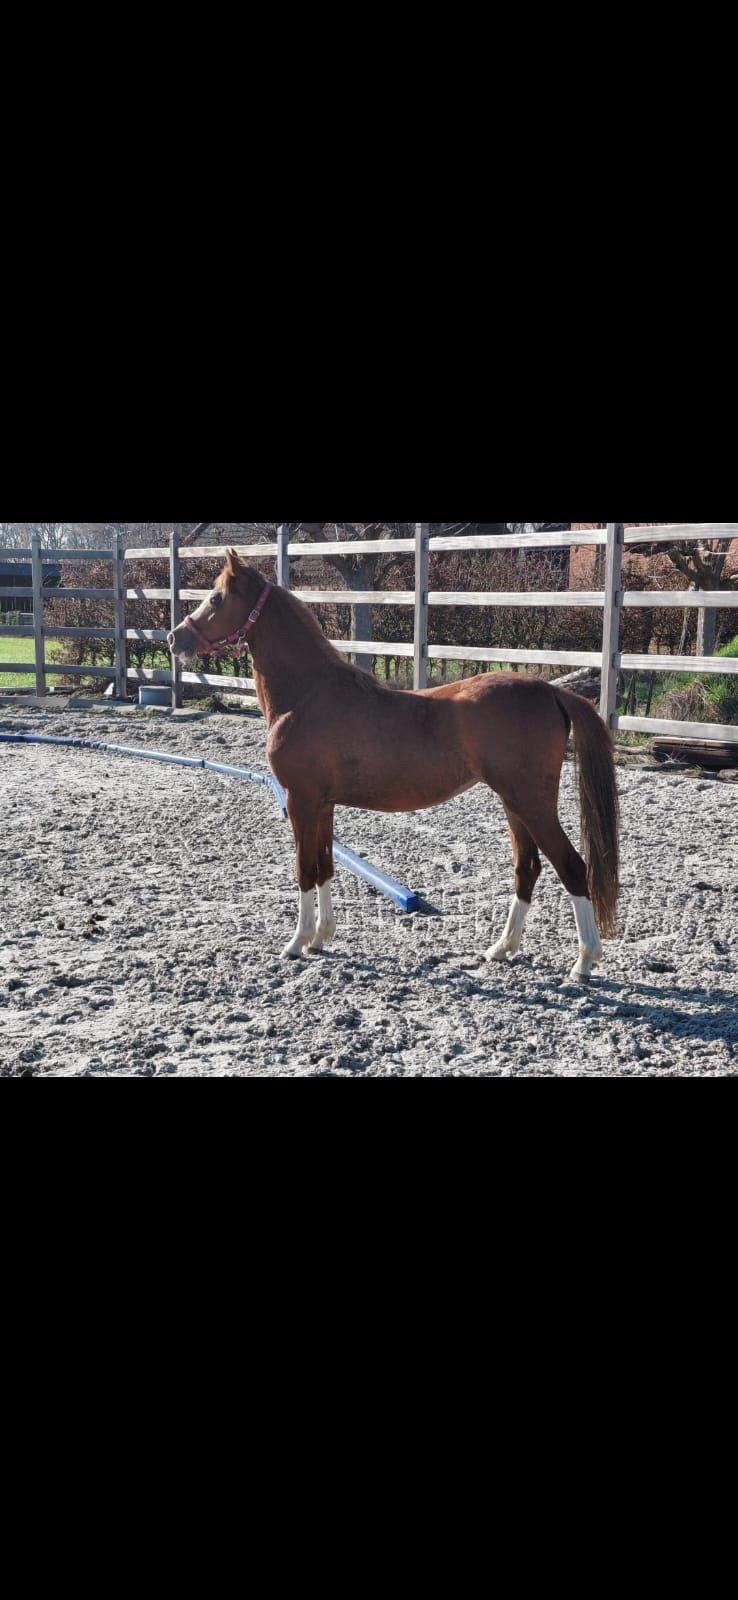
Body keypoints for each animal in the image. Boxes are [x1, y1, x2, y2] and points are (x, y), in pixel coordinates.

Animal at [168, 549, 619, 980]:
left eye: (216, 598)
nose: (175, 638)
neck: (307, 695)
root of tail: (551, 691)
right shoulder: (323, 805)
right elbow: (325, 866)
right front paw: (321, 938)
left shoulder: (300, 801)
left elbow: (304, 869)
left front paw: (297, 943)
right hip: (514, 804)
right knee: (528, 868)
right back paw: (502, 949)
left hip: (531, 803)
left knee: (573, 868)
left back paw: (584, 963)